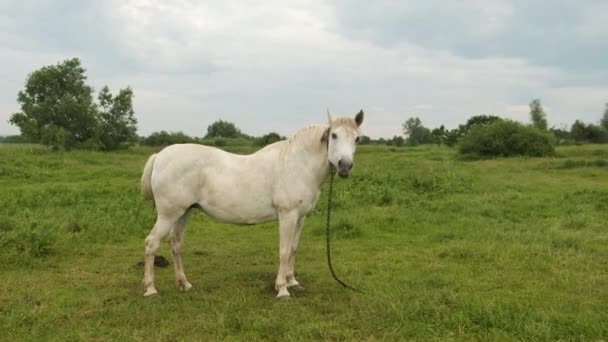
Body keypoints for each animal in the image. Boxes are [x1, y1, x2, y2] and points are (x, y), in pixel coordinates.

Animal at [140, 110, 364, 300]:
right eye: (334, 135)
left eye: (357, 138)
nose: (344, 166)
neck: (298, 164)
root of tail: (160, 156)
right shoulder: (288, 216)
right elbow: (283, 251)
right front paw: (282, 290)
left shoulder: (300, 217)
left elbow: (293, 249)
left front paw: (293, 282)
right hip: (168, 215)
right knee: (151, 243)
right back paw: (150, 289)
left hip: (183, 213)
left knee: (176, 245)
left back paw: (183, 284)